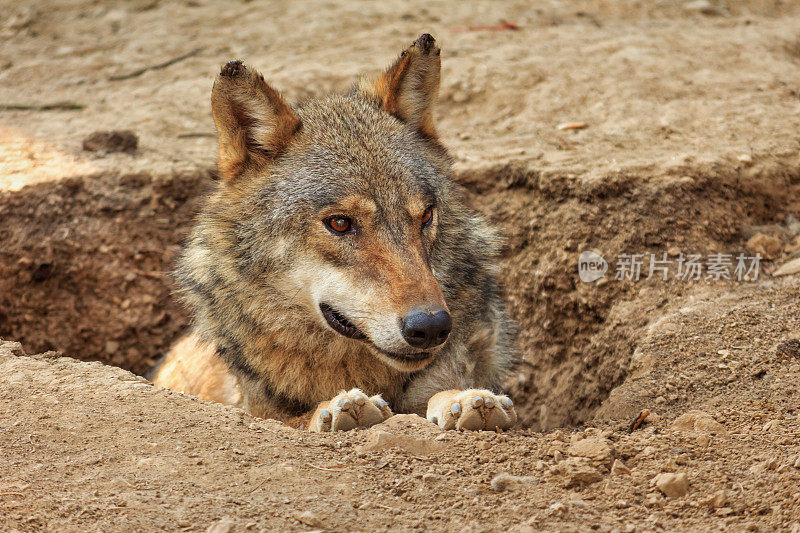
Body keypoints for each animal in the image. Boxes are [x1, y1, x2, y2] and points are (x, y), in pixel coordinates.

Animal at [154, 33, 520, 430]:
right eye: (340, 223)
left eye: (425, 217)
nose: (431, 327)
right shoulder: (258, 409)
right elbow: (293, 417)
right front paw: (338, 407)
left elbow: (437, 393)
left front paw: (466, 401)